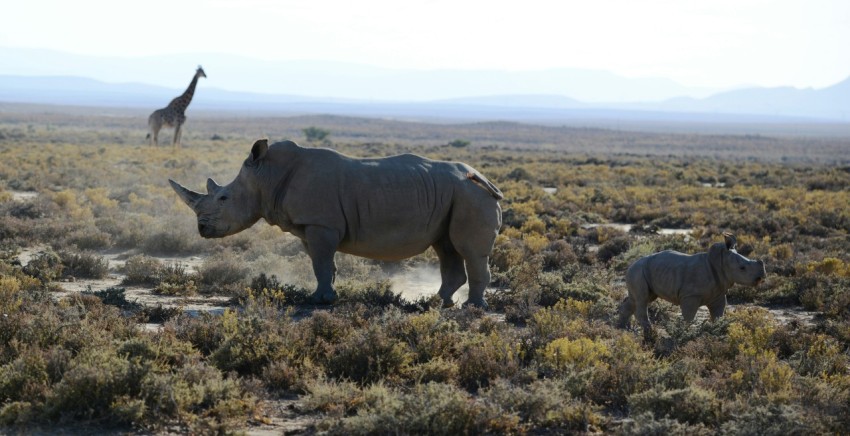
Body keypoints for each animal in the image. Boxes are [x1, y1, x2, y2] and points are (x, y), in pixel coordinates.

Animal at [169, 139, 503, 307]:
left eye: (223, 198)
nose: (201, 229)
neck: (266, 176)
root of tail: (484, 178)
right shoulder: (311, 227)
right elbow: (322, 264)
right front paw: (324, 296)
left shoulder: (321, 224)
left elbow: (321, 262)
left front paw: (318, 301)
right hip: (457, 196)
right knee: (446, 247)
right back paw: (436, 303)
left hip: (470, 195)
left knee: (468, 250)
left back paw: (471, 309)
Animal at [617, 233, 766, 337]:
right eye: (742, 268)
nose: (762, 277)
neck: (720, 263)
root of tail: (630, 265)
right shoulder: (691, 296)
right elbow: (689, 317)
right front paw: (685, 332)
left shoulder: (718, 295)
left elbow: (718, 315)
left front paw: (718, 330)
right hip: (638, 271)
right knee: (642, 299)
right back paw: (649, 333)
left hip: (642, 272)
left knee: (638, 299)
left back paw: (622, 328)